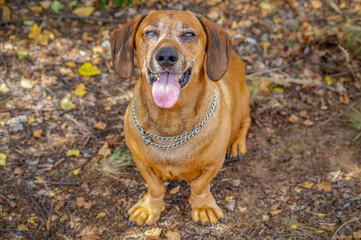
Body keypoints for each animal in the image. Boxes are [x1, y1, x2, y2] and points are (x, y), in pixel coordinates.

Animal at [110, 9, 250, 227]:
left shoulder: (213, 164)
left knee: (245, 123)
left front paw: (203, 206)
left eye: (189, 35)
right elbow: (155, 187)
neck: (170, 121)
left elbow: (200, 186)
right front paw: (149, 208)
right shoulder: (141, 162)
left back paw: (236, 144)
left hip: (244, 102)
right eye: (150, 33)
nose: (166, 56)